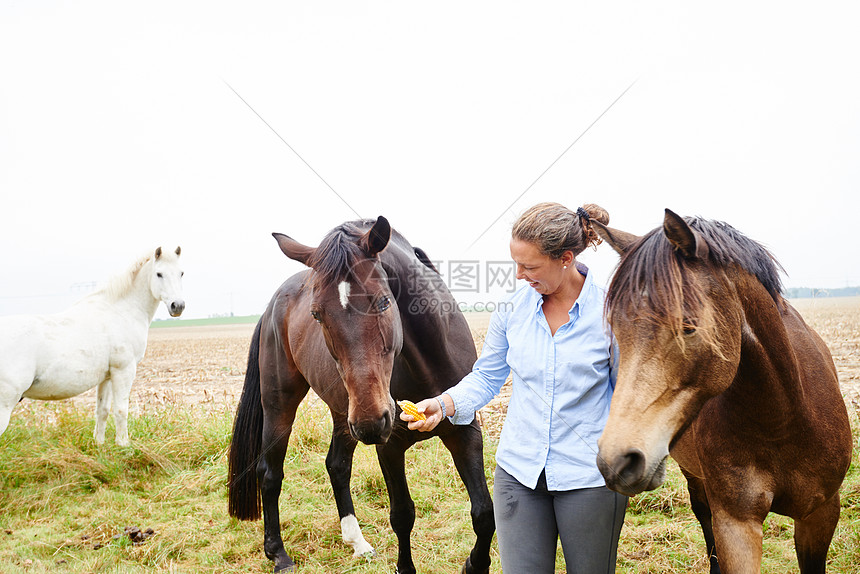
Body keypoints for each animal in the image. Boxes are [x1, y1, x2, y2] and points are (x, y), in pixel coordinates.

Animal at [0, 246, 185, 446]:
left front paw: (99, 444)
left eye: (181, 273)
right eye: (159, 274)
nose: (178, 306)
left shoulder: (107, 376)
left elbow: (102, 411)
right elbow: (121, 411)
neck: (120, 311)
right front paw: (123, 445)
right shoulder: (124, 371)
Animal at [225, 218, 494, 572]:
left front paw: (474, 564)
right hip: (282, 405)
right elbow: (402, 515)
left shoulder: (465, 432)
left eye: (383, 302)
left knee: (336, 466)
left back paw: (356, 541)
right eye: (316, 314)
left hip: (345, 414)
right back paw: (278, 553)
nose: (371, 421)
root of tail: (272, 307)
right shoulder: (390, 446)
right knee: (269, 474)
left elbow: (484, 513)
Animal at [596, 212, 848, 574]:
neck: (783, 420)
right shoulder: (736, 524)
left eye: (688, 326)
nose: (615, 461)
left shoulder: (821, 513)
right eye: (616, 329)